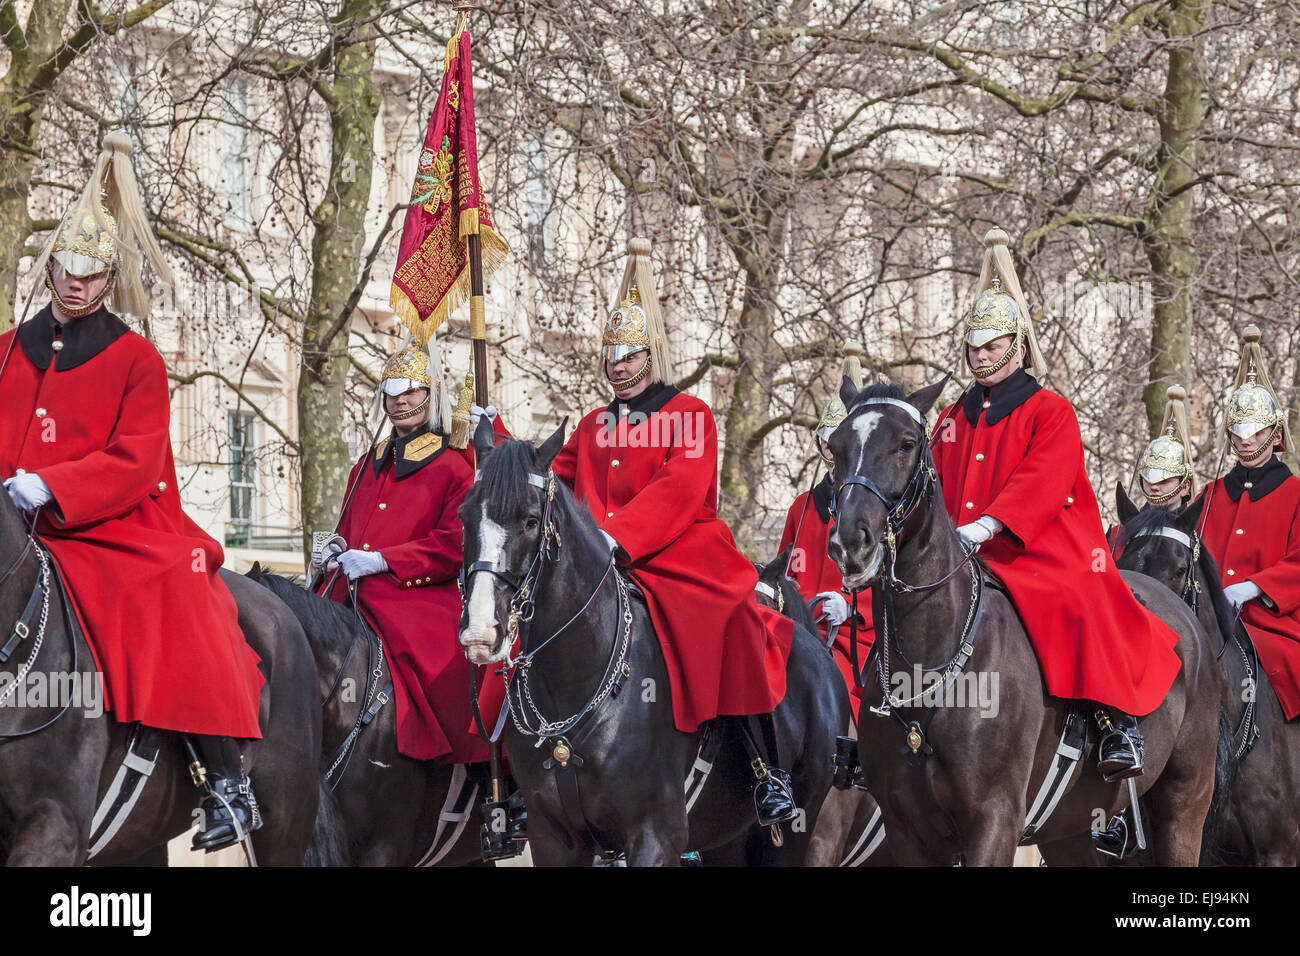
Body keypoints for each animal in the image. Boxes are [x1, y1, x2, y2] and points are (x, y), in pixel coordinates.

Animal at [457, 424, 842, 868]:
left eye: (531, 521)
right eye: (464, 518)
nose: (480, 633)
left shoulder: (655, 835)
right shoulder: (552, 838)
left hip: (798, 825)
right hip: (724, 837)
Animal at [826, 382, 1222, 868]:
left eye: (906, 444)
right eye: (835, 447)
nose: (850, 543)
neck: (932, 660)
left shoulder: (993, 820)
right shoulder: (907, 831)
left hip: (1184, 805)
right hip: (1069, 829)